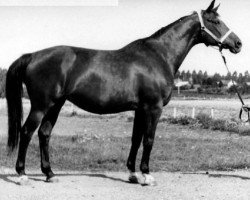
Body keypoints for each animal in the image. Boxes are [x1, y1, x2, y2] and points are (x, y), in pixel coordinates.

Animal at [5, 0, 241, 185]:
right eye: (215, 22)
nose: (238, 43)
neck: (159, 55)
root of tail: (33, 55)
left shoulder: (140, 109)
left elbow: (136, 139)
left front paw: (133, 174)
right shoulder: (153, 108)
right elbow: (149, 140)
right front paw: (147, 175)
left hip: (56, 105)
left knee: (44, 134)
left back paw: (50, 174)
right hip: (41, 105)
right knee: (26, 132)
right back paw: (22, 175)